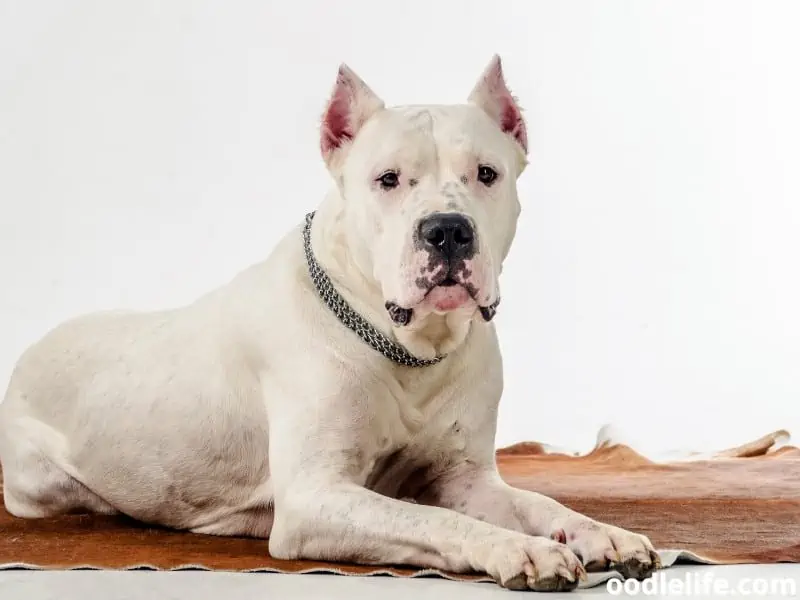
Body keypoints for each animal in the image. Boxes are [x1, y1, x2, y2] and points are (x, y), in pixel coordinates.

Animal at [0, 55, 660, 592]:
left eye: (487, 174)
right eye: (388, 180)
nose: (448, 230)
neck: (408, 346)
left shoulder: (468, 478)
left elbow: (539, 503)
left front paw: (602, 533)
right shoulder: (316, 499)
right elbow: (431, 517)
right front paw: (518, 550)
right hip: (44, 481)